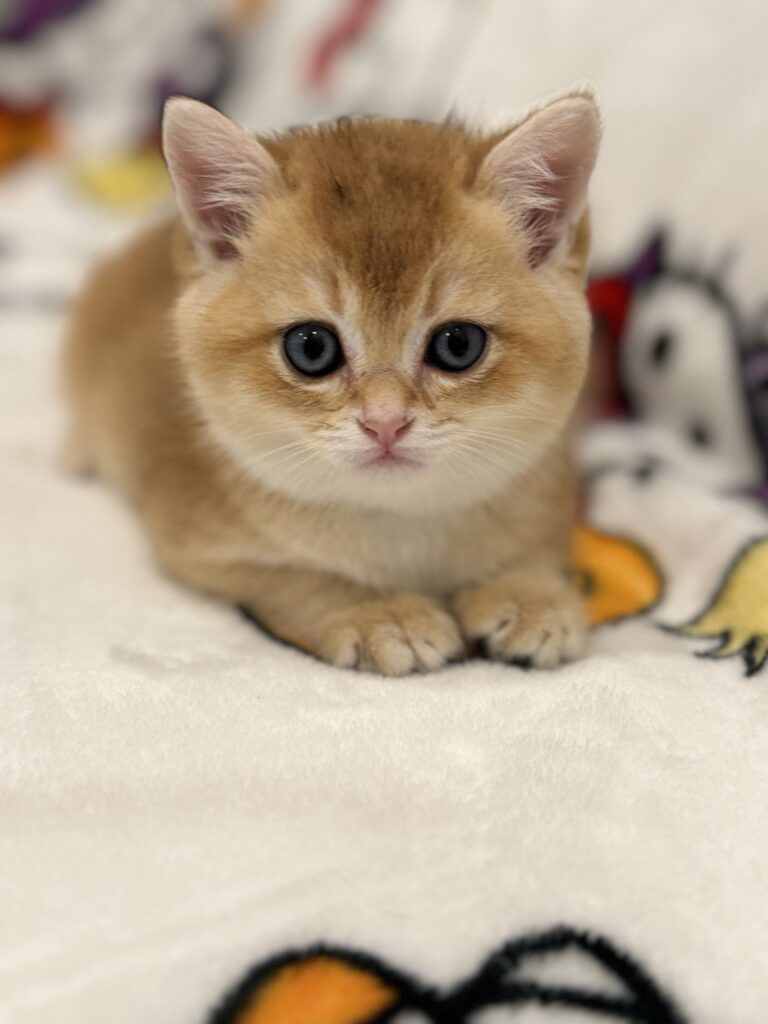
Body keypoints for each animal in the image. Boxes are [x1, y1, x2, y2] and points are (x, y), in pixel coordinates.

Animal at [63, 88, 606, 675]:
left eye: (459, 345)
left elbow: (536, 550)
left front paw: (531, 596)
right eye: (311, 348)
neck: (403, 524)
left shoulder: (548, 492)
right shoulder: (197, 544)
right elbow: (303, 579)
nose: (386, 422)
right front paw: (380, 612)